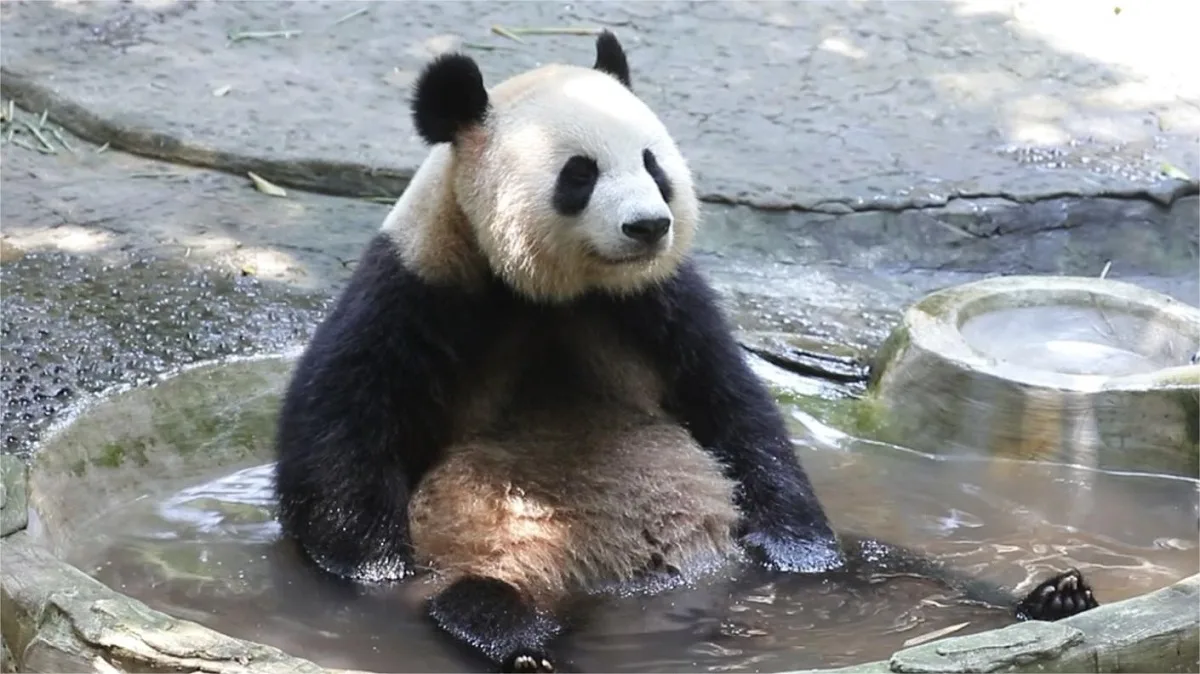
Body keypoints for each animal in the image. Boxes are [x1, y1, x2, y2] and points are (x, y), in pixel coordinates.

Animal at [274, 31, 1099, 673]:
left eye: (653, 163)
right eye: (580, 174)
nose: (648, 225)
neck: (554, 293)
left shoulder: (657, 303)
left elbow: (736, 411)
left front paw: (800, 544)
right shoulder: (426, 287)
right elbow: (341, 437)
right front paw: (375, 569)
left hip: (759, 549)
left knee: (888, 566)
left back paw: (1049, 598)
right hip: (502, 562)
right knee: (477, 602)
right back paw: (524, 646)